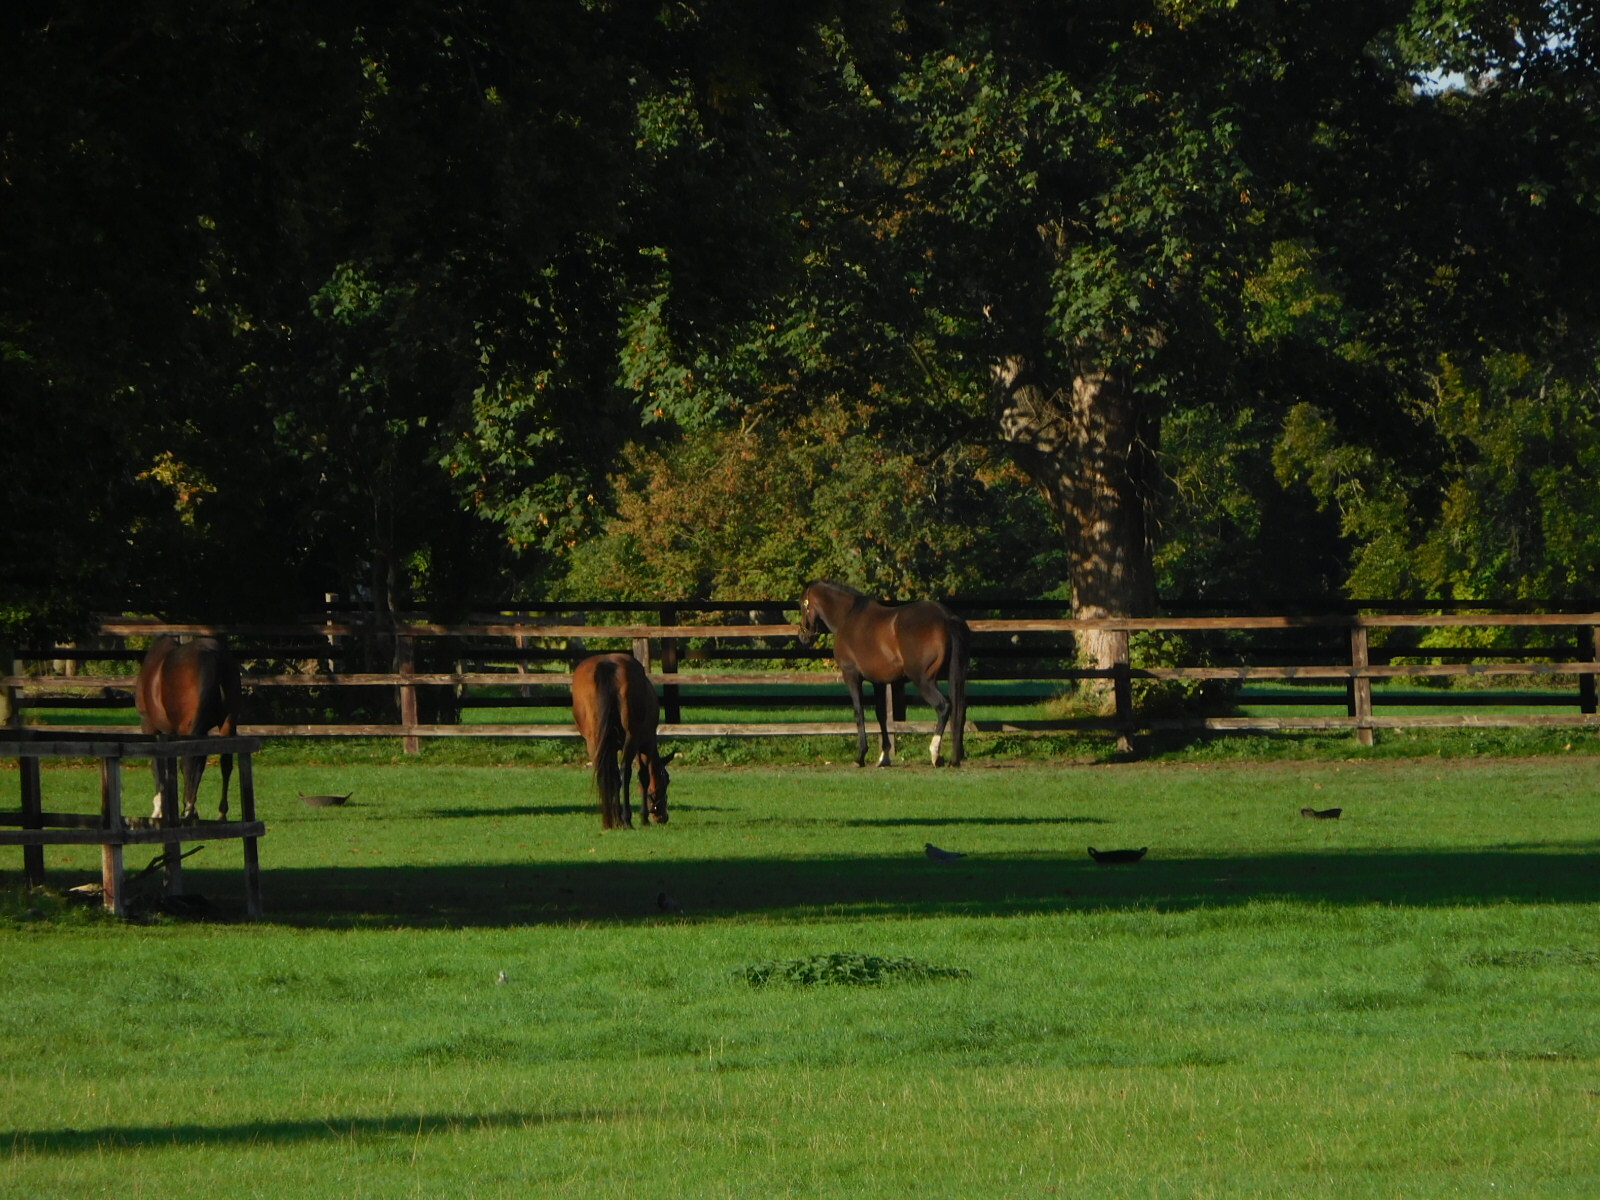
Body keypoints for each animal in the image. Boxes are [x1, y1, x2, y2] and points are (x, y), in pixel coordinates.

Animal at [134, 635, 242, 822]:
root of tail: (212, 654)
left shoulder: (150, 726)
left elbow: (158, 765)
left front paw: (159, 808)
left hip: (188, 729)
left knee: (188, 762)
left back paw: (189, 810)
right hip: (227, 724)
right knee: (225, 764)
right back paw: (220, 812)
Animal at [571, 653, 674, 830]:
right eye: (666, 780)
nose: (662, 817)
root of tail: (608, 664)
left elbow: (613, 777)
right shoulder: (645, 745)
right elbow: (643, 777)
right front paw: (643, 818)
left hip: (594, 742)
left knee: (606, 774)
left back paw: (611, 820)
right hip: (630, 738)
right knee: (625, 771)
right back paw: (626, 819)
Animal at [796, 580, 970, 767]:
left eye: (802, 604)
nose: (803, 636)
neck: (848, 616)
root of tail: (946, 617)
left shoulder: (851, 675)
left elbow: (859, 713)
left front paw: (860, 756)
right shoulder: (878, 682)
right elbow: (882, 716)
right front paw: (884, 756)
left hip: (923, 680)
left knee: (943, 707)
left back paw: (935, 754)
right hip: (954, 677)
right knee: (960, 710)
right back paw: (955, 758)